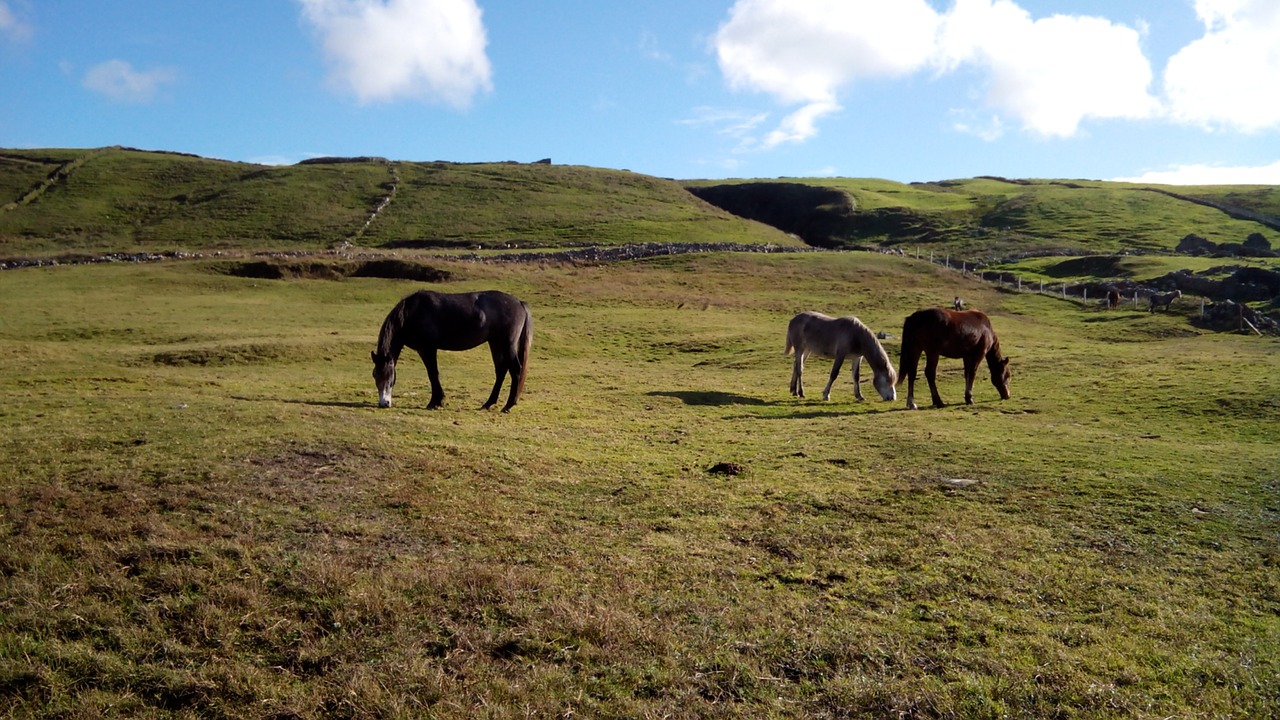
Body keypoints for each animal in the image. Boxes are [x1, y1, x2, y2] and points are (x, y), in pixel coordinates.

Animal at [373, 285, 532, 409]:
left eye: (387, 374)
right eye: (375, 375)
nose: (383, 403)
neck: (412, 313)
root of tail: (519, 302)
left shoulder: (428, 349)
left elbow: (433, 373)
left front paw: (435, 402)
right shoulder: (424, 349)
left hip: (507, 344)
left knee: (515, 370)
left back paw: (508, 405)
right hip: (495, 343)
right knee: (501, 370)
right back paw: (488, 403)